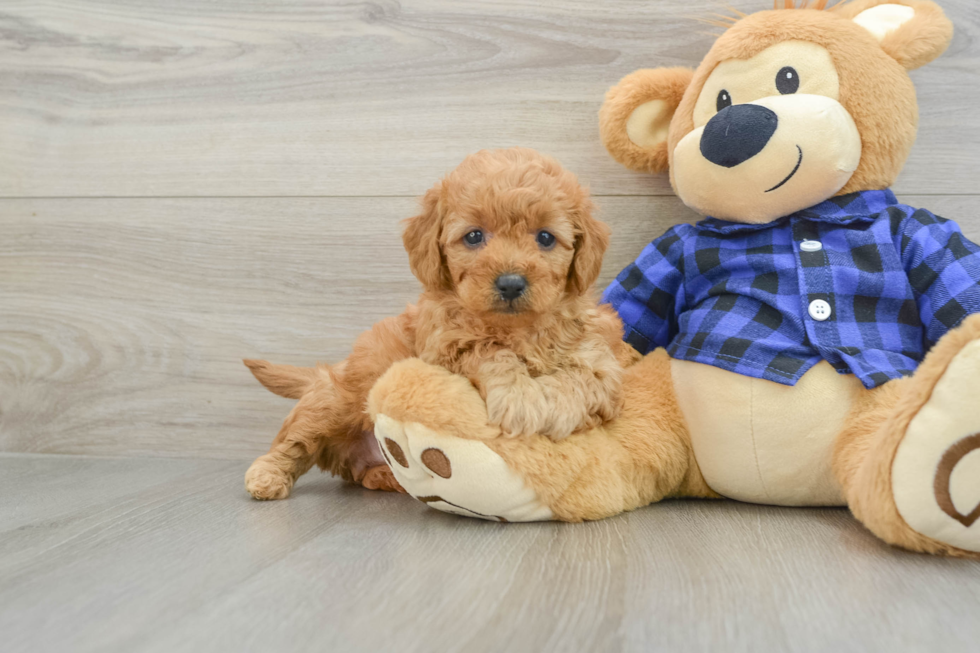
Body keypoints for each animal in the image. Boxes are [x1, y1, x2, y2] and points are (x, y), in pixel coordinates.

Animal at [244, 149, 636, 500]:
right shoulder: (443, 348)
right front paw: (520, 398)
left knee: (356, 470)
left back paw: (386, 474)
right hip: (334, 401)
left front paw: (555, 410)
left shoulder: (601, 360)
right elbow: (488, 350)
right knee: (295, 441)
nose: (510, 283)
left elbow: (581, 380)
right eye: (474, 236)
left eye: (545, 237)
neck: (517, 329)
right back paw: (268, 475)